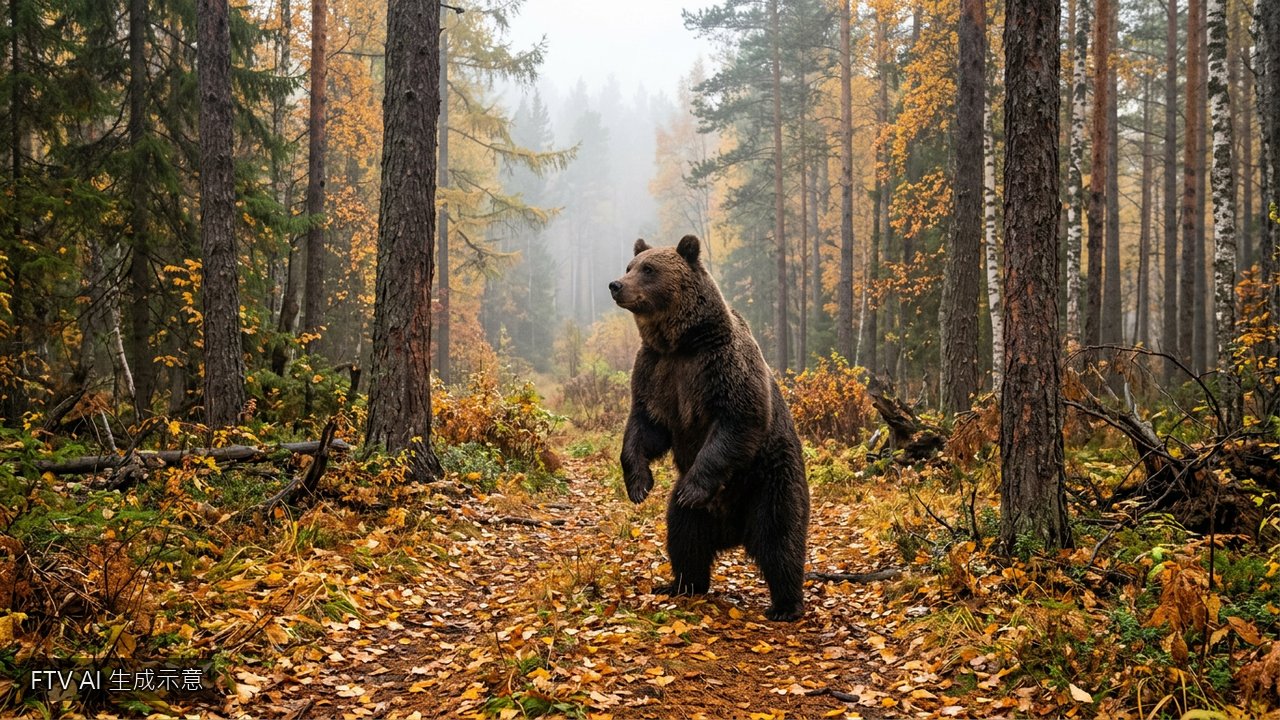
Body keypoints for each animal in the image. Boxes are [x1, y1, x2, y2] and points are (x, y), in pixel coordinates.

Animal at [608, 234, 810, 622]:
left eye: (649, 269)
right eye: (630, 265)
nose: (615, 285)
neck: (681, 342)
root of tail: (733, 532)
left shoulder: (720, 367)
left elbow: (737, 419)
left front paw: (691, 488)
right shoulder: (656, 373)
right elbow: (646, 427)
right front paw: (639, 484)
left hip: (770, 480)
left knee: (780, 539)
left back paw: (785, 605)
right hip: (698, 519)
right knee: (684, 536)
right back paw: (680, 584)